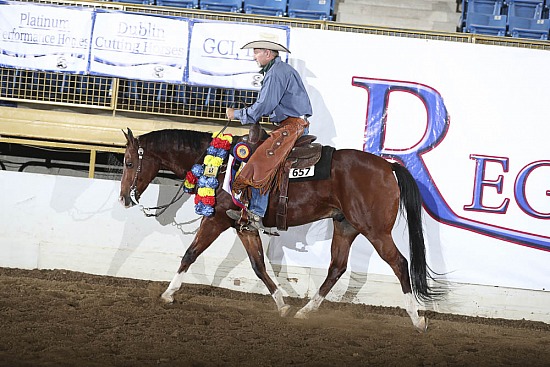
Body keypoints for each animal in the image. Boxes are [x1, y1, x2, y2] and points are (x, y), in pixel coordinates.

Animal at [118, 128, 442, 332]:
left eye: (129, 162)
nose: (123, 199)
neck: (218, 165)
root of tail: (388, 167)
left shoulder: (218, 219)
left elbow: (190, 253)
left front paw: (168, 294)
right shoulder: (243, 225)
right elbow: (259, 265)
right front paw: (282, 305)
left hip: (375, 230)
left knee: (400, 263)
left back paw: (417, 320)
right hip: (346, 226)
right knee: (336, 267)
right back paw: (305, 311)